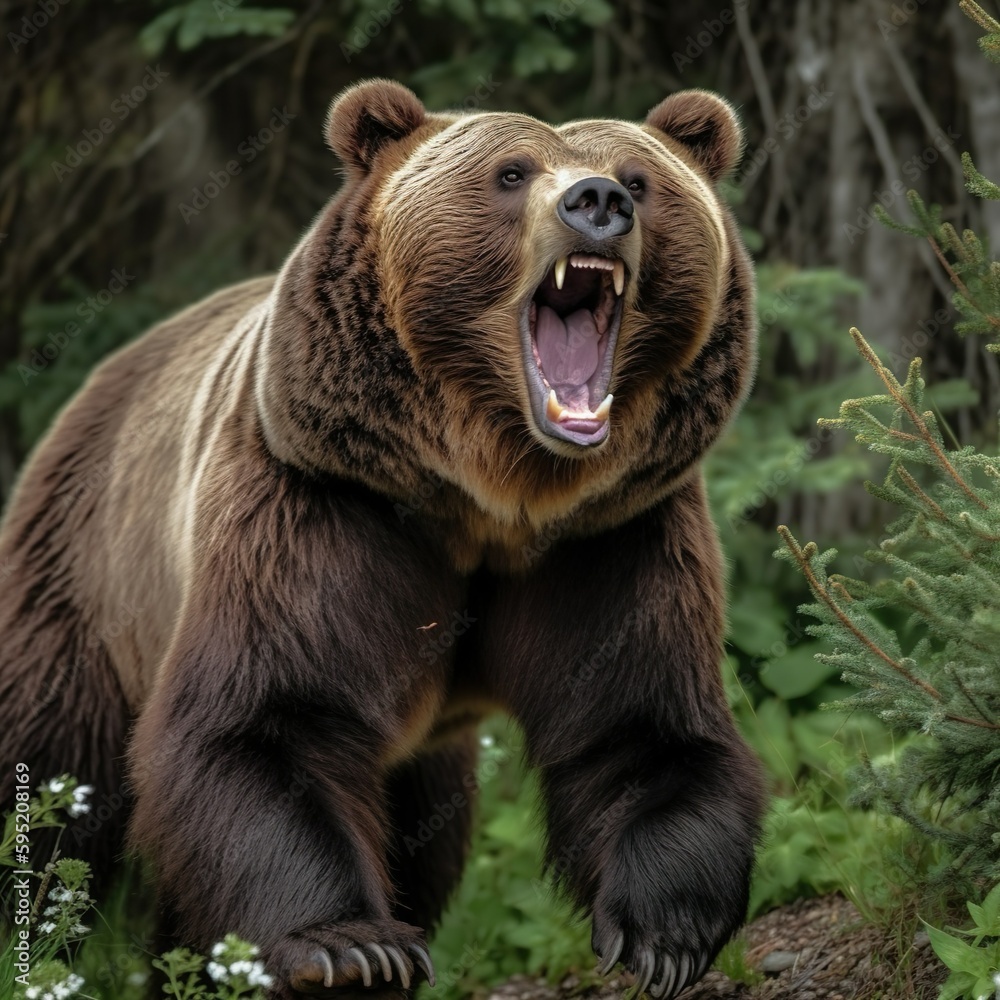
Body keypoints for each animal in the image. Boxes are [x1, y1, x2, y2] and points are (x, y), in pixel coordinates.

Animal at [0, 79, 765, 999]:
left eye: (641, 180)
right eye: (511, 173)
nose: (598, 203)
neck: (496, 501)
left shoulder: (612, 535)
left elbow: (639, 726)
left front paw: (665, 934)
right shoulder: (325, 504)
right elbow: (269, 716)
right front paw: (349, 946)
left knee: (420, 840)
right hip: (87, 581)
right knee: (52, 766)